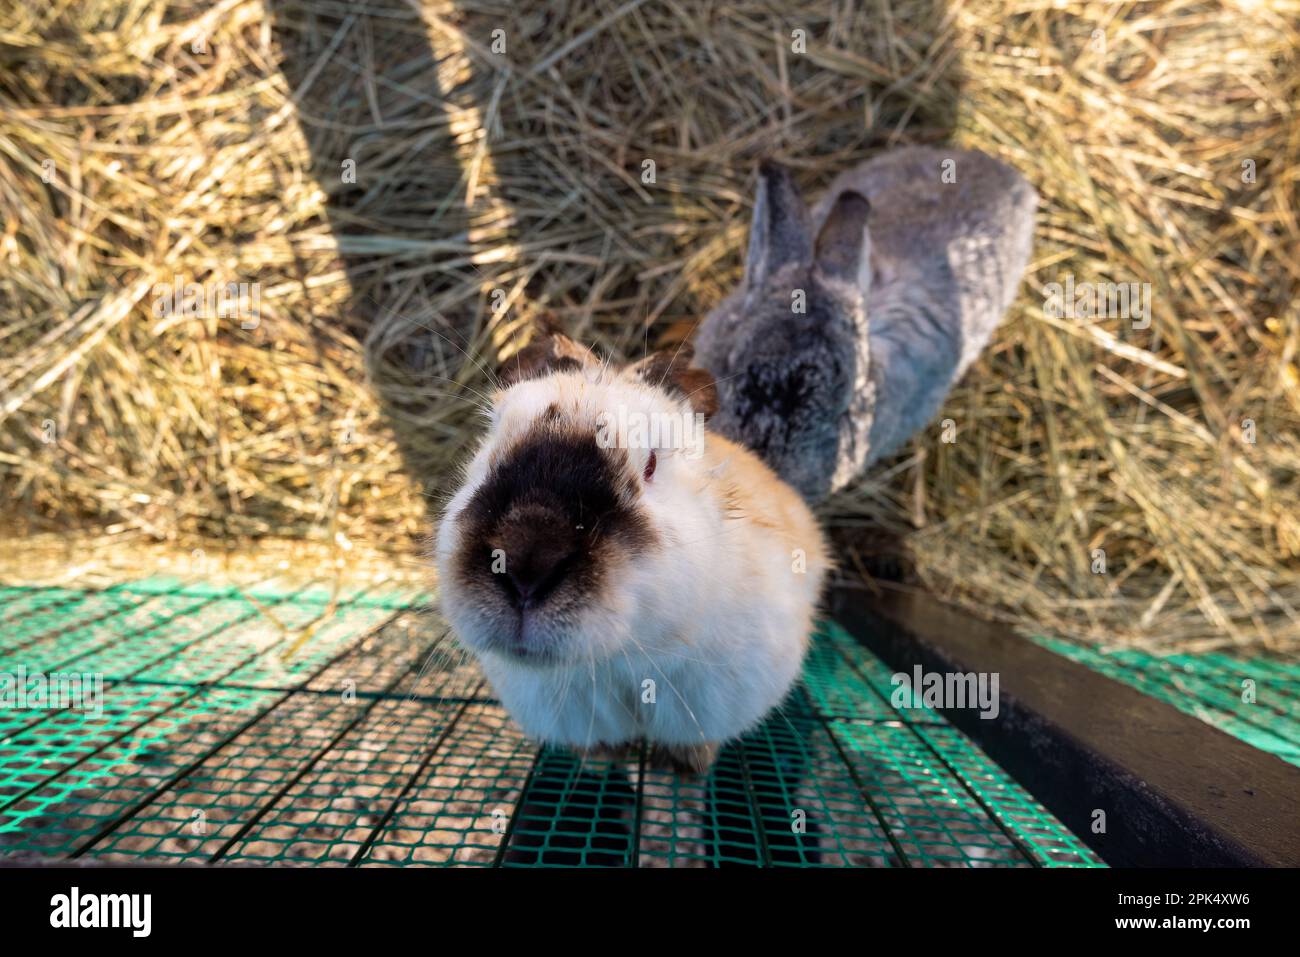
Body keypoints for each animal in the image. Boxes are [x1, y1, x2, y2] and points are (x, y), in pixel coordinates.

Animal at [434, 331, 829, 774]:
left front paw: (680, 768)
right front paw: (602, 761)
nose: (524, 569)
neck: (616, 660)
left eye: (652, 464)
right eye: (491, 448)